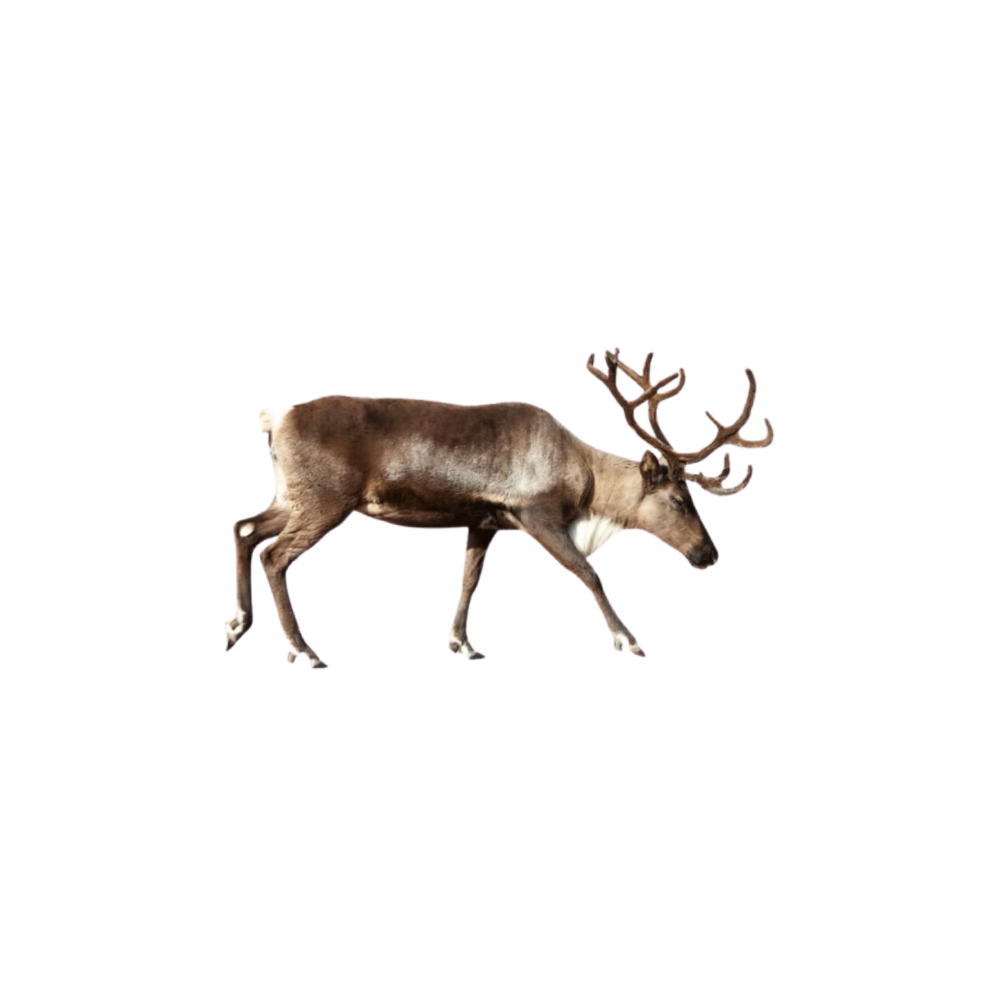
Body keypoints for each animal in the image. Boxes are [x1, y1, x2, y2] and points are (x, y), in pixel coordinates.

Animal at [225, 350, 773, 667]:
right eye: (680, 501)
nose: (708, 554)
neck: (587, 483)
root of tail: (276, 420)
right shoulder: (538, 514)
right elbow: (589, 573)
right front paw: (628, 640)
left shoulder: (482, 520)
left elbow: (470, 579)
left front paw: (462, 643)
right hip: (326, 501)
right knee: (274, 555)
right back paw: (303, 649)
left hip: (290, 497)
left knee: (244, 528)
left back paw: (236, 625)